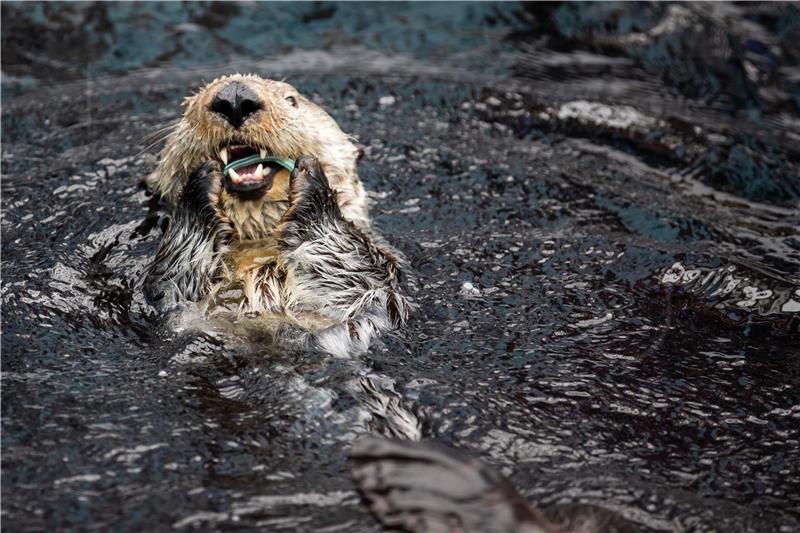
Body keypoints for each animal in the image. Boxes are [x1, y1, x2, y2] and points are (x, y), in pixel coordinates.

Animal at [144, 72, 410, 356]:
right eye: (187, 107)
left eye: (291, 100)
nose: (234, 96)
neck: (259, 249)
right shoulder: (174, 302)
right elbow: (170, 281)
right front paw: (202, 181)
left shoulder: (377, 276)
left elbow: (351, 271)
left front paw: (310, 178)